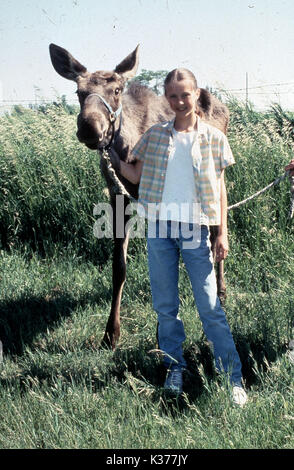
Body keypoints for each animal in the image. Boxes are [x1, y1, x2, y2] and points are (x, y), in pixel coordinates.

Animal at [49, 44, 230, 350]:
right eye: (79, 92)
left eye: (117, 90)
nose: (89, 128)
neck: (128, 147)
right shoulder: (117, 194)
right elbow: (119, 266)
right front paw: (111, 332)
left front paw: (161, 334)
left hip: (216, 174)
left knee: (218, 228)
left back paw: (222, 290)